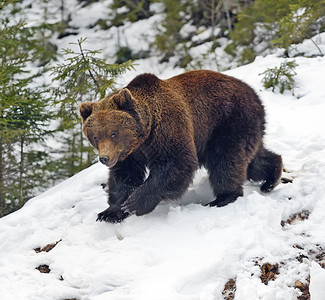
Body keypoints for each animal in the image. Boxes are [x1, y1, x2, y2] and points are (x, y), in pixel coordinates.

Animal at [78, 69, 280, 223]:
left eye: (114, 133)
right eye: (95, 137)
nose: (105, 158)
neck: (144, 135)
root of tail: (255, 95)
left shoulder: (167, 130)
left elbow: (177, 162)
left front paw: (134, 202)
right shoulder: (130, 154)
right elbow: (124, 176)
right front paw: (110, 212)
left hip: (228, 121)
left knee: (226, 160)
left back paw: (223, 197)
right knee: (252, 160)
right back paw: (271, 177)